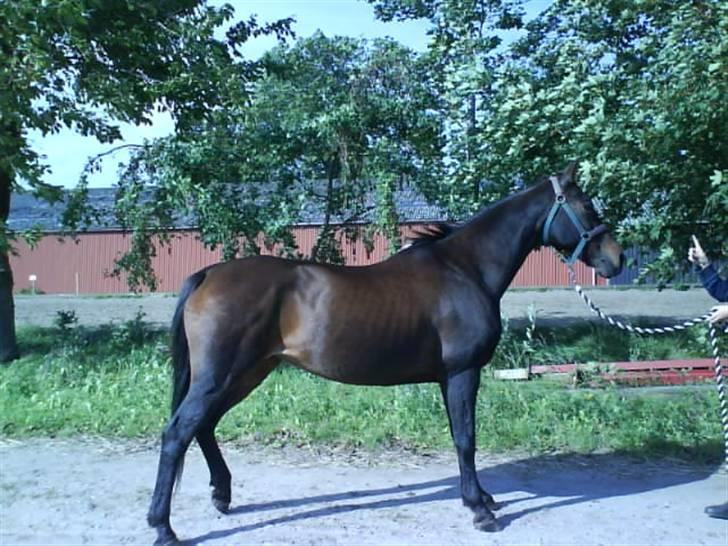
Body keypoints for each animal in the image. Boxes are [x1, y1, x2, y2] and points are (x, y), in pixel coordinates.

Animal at [147, 162, 624, 544]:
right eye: (586, 206)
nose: (616, 260)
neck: (465, 269)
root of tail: (209, 273)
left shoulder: (449, 378)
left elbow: (461, 437)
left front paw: (484, 498)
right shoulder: (462, 372)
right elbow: (466, 438)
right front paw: (479, 509)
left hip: (247, 373)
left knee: (203, 427)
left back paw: (221, 495)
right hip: (223, 375)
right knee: (177, 433)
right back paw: (164, 527)